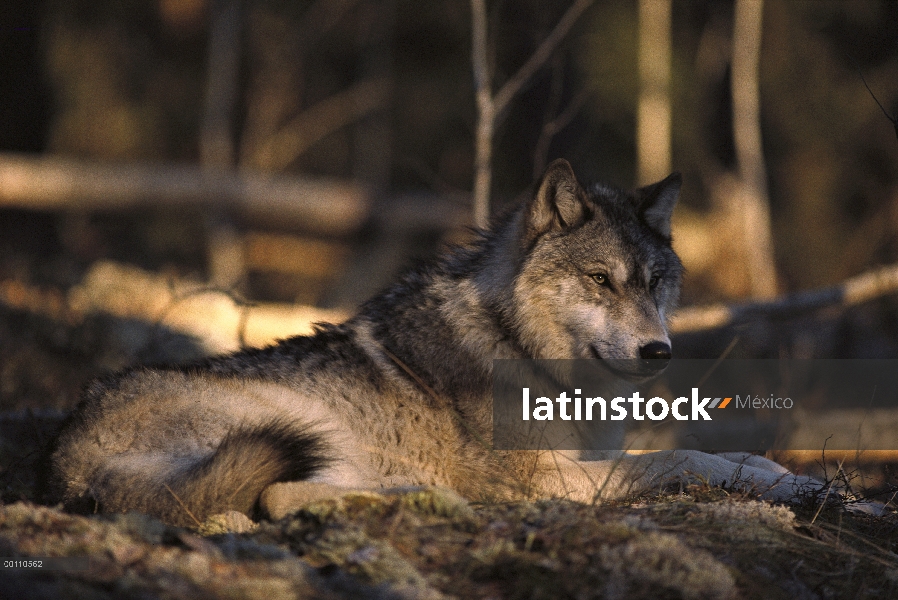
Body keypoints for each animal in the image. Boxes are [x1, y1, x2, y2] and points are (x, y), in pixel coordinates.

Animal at [50, 158, 820, 524]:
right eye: (601, 280)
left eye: (656, 282)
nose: (658, 353)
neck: (520, 349)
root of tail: (61, 459)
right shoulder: (554, 476)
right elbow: (681, 456)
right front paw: (783, 482)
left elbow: (735, 452)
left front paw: (790, 475)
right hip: (296, 422)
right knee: (277, 496)